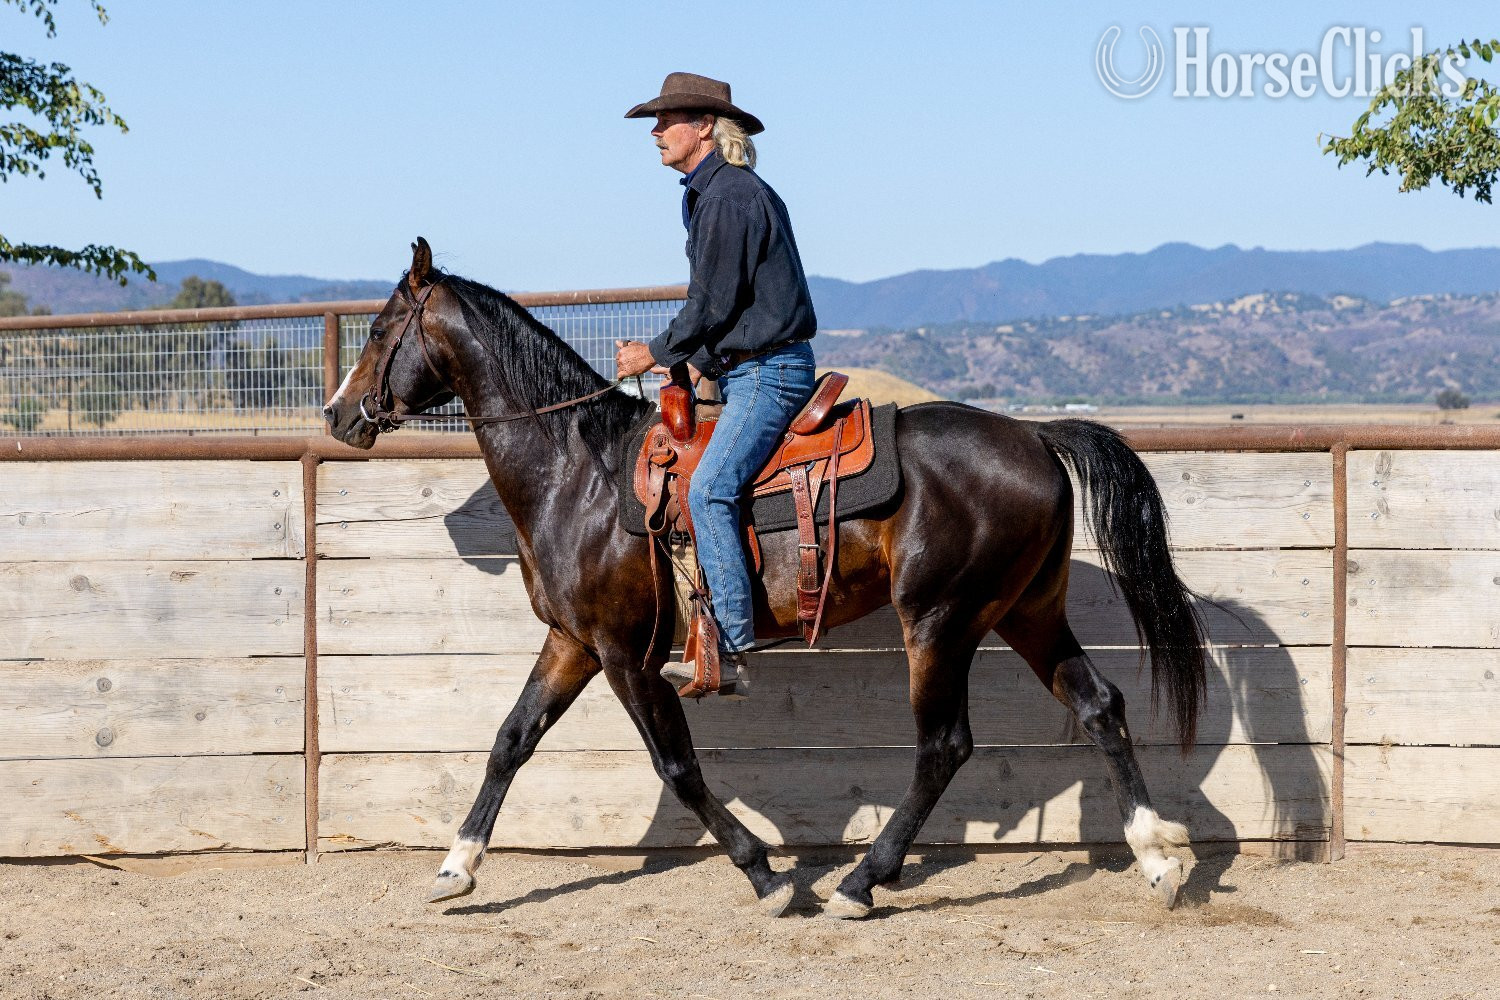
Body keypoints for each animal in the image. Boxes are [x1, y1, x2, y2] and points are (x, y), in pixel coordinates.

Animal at [322, 238, 1209, 919]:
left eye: (381, 326)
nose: (336, 414)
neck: (581, 471)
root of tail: (1035, 435)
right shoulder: (572, 641)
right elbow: (511, 740)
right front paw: (456, 866)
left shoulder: (626, 654)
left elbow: (677, 767)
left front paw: (765, 875)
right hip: (1026, 610)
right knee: (1098, 706)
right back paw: (1158, 859)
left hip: (941, 620)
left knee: (944, 745)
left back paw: (860, 882)